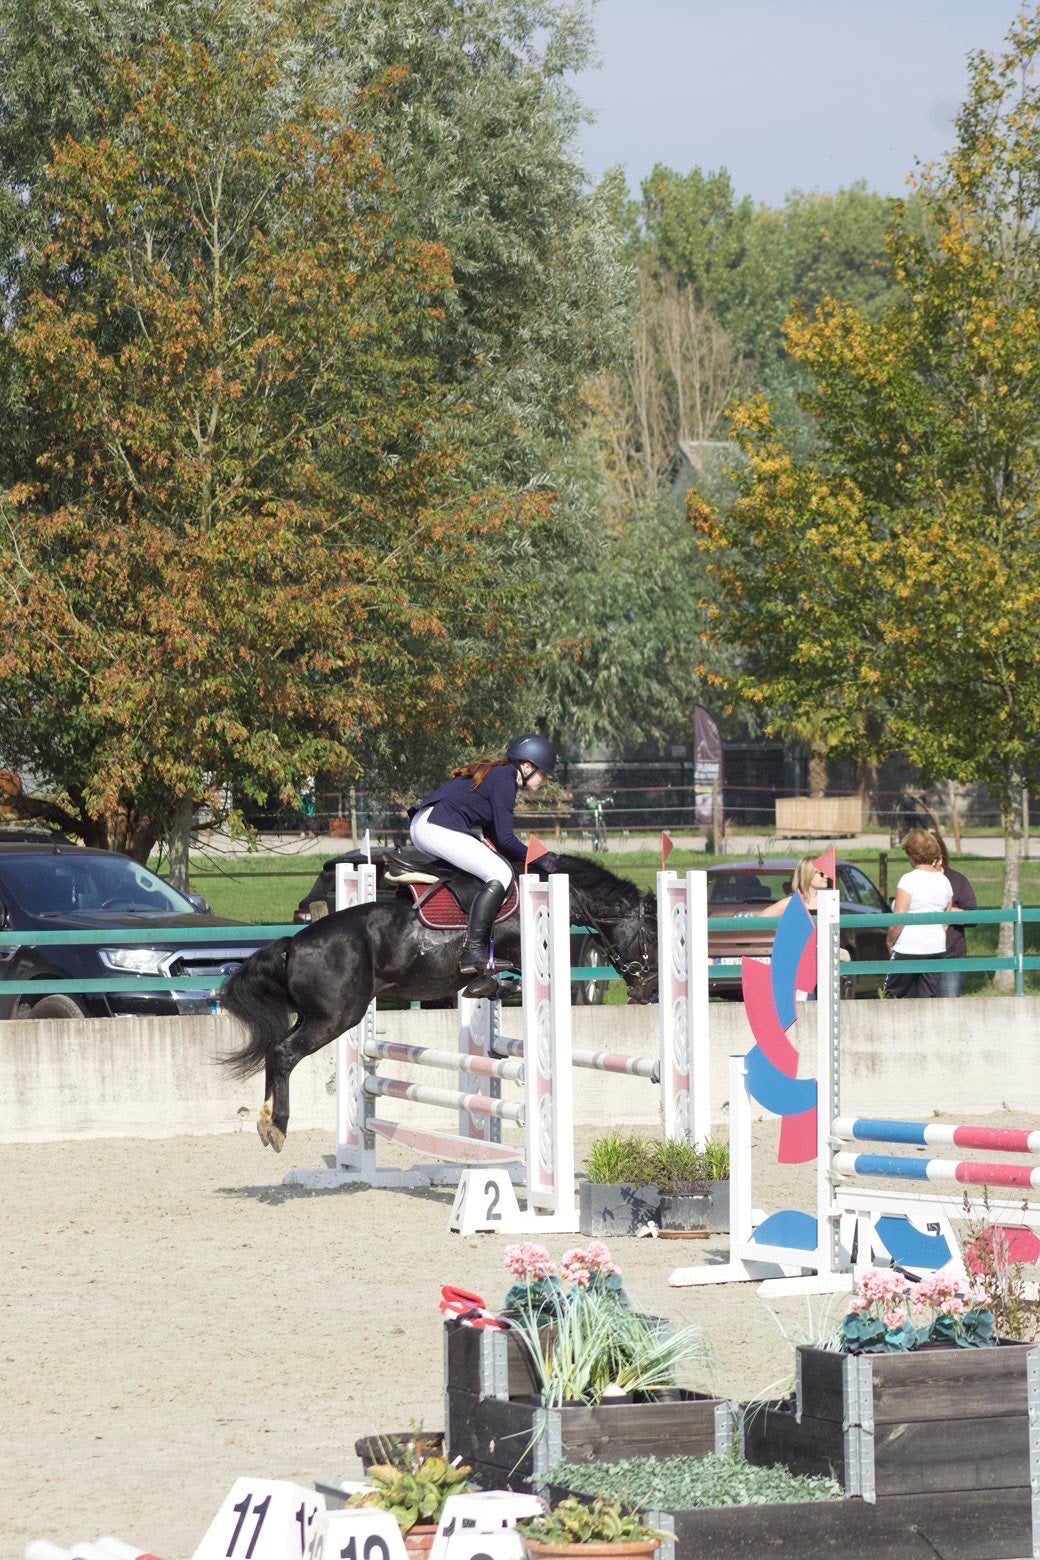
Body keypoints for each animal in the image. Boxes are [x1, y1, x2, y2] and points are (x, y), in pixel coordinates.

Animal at [220, 852, 659, 1151]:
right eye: (652, 937)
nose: (650, 990)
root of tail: (293, 943)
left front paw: (495, 987)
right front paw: (499, 984)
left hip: (315, 1016)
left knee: (276, 1052)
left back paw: (266, 1120)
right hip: (336, 1017)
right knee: (284, 1053)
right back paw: (276, 1126)